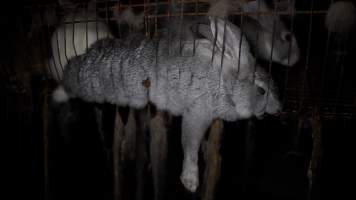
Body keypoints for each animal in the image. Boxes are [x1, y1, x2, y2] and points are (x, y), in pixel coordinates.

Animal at [52, 17, 282, 192]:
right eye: (261, 90)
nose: (279, 108)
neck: (225, 85)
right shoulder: (198, 112)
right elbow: (190, 145)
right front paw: (190, 182)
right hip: (93, 84)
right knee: (71, 81)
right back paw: (57, 94)